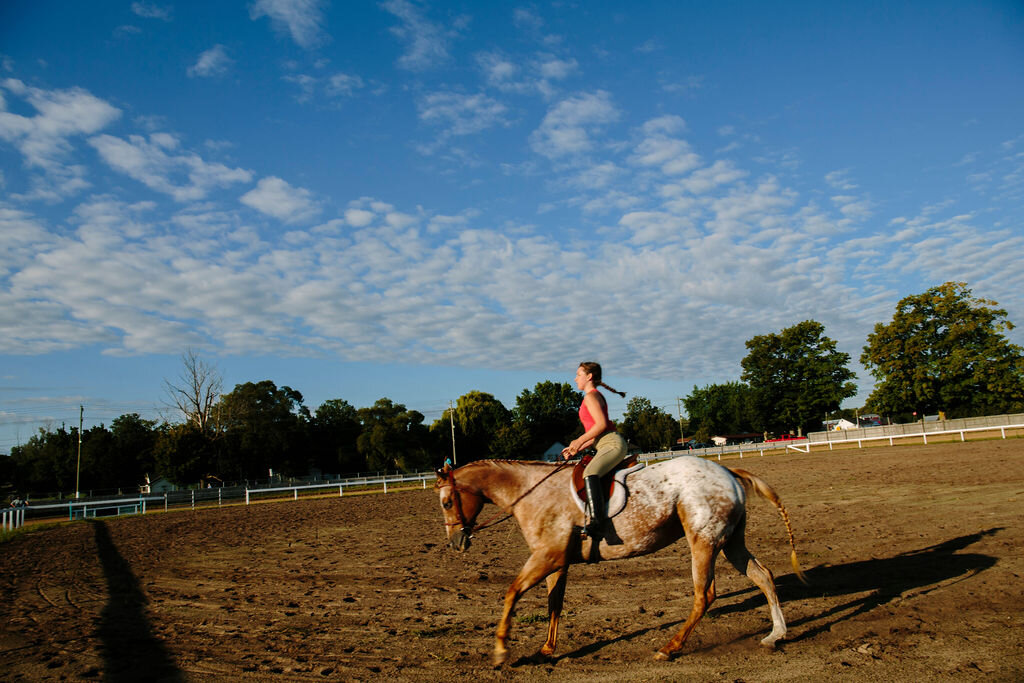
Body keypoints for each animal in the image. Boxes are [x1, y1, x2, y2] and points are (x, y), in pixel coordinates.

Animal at [436, 456, 802, 663]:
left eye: (446, 503)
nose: (456, 543)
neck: (532, 492)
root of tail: (726, 470)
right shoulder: (556, 560)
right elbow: (554, 603)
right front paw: (546, 650)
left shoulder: (546, 557)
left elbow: (512, 593)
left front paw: (500, 653)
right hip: (730, 542)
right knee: (763, 575)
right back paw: (776, 635)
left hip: (704, 541)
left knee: (705, 595)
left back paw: (669, 647)